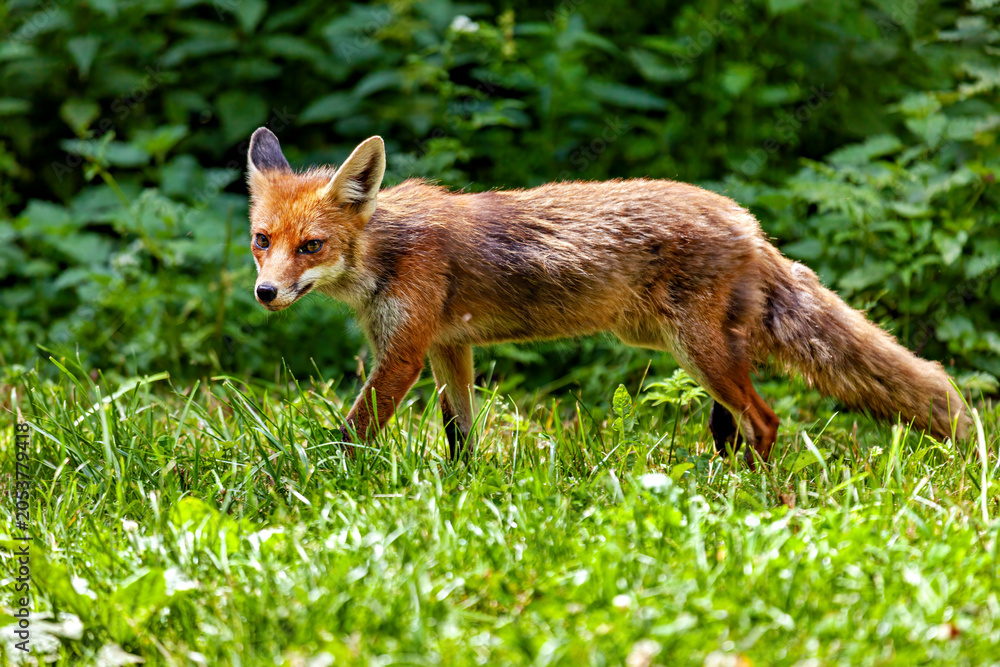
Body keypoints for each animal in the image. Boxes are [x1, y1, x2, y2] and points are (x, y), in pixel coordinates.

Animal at [245, 127, 969, 465]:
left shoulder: (403, 353)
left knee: (765, 420)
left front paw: (321, 482)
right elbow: (460, 436)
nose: (265, 291)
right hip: (688, 347)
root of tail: (750, 224)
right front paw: (462, 490)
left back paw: (750, 497)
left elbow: (352, 432)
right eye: (262, 239)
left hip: (695, 348)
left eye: (311, 245)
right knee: (733, 424)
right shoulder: (449, 346)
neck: (383, 255)